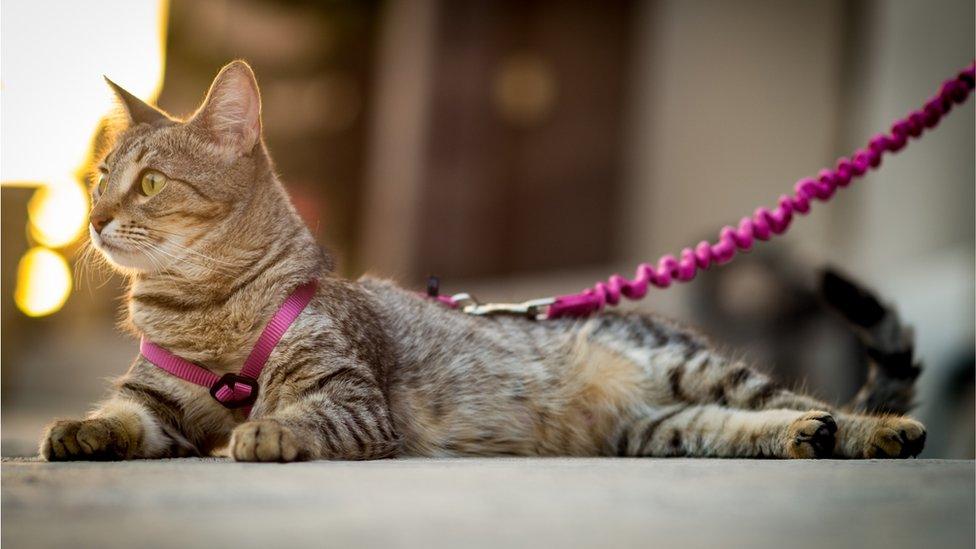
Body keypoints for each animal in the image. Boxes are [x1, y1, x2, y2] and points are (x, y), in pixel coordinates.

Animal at [38, 61, 924, 462]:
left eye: (150, 183)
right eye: (101, 176)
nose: (94, 215)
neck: (206, 308)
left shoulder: (354, 400)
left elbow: (300, 416)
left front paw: (259, 432)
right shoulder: (155, 402)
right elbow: (121, 415)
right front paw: (78, 429)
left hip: (695, 369)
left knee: (798, 396)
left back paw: (878, 430)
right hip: (662, 429)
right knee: (746, 425)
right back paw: (804, 436)